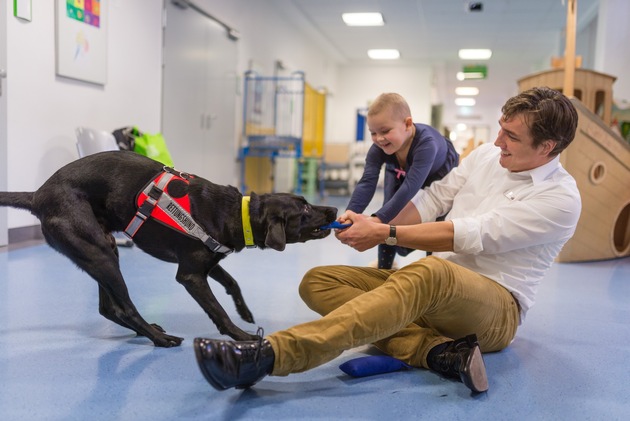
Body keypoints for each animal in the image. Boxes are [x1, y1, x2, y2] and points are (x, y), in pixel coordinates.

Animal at [0, 150, 340, 344]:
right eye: (305, 208)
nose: (334, 210)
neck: (236, 212)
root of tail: (37, 195)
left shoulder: (207, 263)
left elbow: (232, 282)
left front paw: (244, 311)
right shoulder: (190, 275)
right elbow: (217, 310)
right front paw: (241, 336)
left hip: (103, 249)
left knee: (107, 307)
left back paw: (147, 330)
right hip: (98, 253)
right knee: (123, 306)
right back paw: (158, 339)